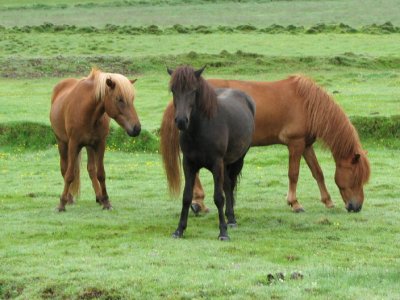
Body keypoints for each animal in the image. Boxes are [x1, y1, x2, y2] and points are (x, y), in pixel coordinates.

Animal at [50, 69, 141, 212]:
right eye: (119, 99)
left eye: (132, 99)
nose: (136, 128)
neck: (87, 111)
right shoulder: (73, 144)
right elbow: (69, 175)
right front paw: (61, 204)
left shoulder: (100, 144)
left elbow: (100, 173)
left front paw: (106, 201)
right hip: (62, 143)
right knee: (64, 169)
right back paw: (69, 198)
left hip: (89, 146)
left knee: (91, 170)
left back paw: (99, 197)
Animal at [160, 74, 372, 213]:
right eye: (355, 178)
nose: (356, 207)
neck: (307, 103)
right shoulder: (295, 144)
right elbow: (294, 174)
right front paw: (295, 203)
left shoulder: (306, 145)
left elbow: (317, 172)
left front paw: (327, 201)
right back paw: (199, 202)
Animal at [161, 66, 255, 241]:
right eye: (173, 90)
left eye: (193, 90)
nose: (181, 121)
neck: (201, 129)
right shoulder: (189, 164)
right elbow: (186, 197)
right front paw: (179, 230)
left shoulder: (216, 164)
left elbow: (218, 197)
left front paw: (223, 232)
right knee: (227, 186)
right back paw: (230, 218)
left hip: (237, 160)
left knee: (230, 186)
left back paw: (231, 220)